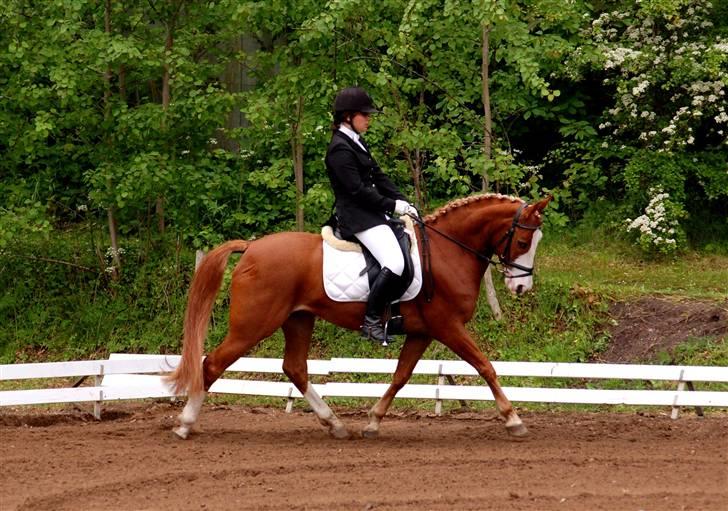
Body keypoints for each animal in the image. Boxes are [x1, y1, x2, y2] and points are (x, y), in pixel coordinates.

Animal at [168, 194, 548, 442]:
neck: (446, 251)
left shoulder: (423, 332)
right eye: (523, 241)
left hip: (298, 319)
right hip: (253, 325)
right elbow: (485, 366)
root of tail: (251, 247)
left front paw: (373, 422)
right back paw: (185, 424)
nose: (522, 287)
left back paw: (334, 424)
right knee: (212, 365)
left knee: (295, 368)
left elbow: (400, 376)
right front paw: (513, 419)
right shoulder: (448, 326)